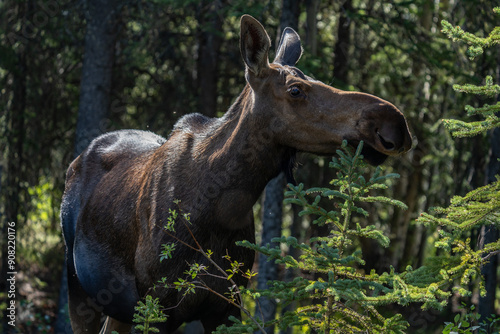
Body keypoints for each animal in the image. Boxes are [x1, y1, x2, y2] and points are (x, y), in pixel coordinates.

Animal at [60, 15, 412, 334]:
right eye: (295, 90)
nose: (395, 123)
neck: (221, 206)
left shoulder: (226, 304)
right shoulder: (160, 304)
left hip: (119, 306)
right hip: (78, 285)